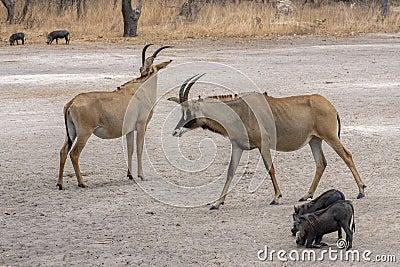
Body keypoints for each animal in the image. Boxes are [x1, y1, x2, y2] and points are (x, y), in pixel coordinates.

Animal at [57, 44, 172, 191]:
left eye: (142, 69)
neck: (140, 90)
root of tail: (73, 102)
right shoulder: (141, 126)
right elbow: (139, 149)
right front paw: (141, 176)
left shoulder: (129, 130)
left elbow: (130, 149)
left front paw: (130, 175)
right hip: (84, 133)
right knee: (74, 153)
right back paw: (82, 182)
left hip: (72, 132)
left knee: (63, 151)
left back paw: (60, 184)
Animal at [168, 74, 366, 210]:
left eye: (189, 112)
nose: (175, 131)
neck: (239, 110)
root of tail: (330, 105)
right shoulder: (238, 147)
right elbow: (230, 171)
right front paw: (217, 203)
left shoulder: (263, 145)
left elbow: (270, 168)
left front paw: (276, 197)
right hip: (314, 140)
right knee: (321, 163)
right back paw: (306, 195)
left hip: (330, 136)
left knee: (347, 156)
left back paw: (361, 191)